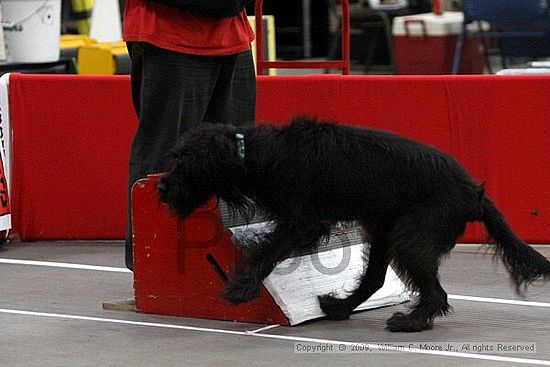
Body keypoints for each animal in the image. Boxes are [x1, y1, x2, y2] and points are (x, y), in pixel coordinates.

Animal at [156, 118, 550, 334]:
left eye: (183, 163)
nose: (160, 187)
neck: (253, 154)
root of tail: (474, 194)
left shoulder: (304, 222)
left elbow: (268, 251)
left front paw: (241, 288)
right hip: (385, 228)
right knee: (374, 279)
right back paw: (340, 307)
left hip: (410, 234)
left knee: (434, 293)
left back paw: (410, 322)